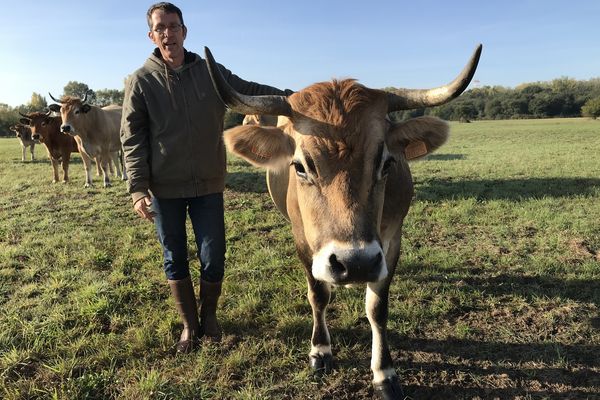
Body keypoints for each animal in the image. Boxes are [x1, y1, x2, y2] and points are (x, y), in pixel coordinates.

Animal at [204, 44, 480, 400]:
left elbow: (377, 307)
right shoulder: (303, 240)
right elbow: (318, 295)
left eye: (386, 162)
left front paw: (384, 372)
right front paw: (320, 351)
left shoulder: (391, 240)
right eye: (300, 166)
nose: (355, 263)